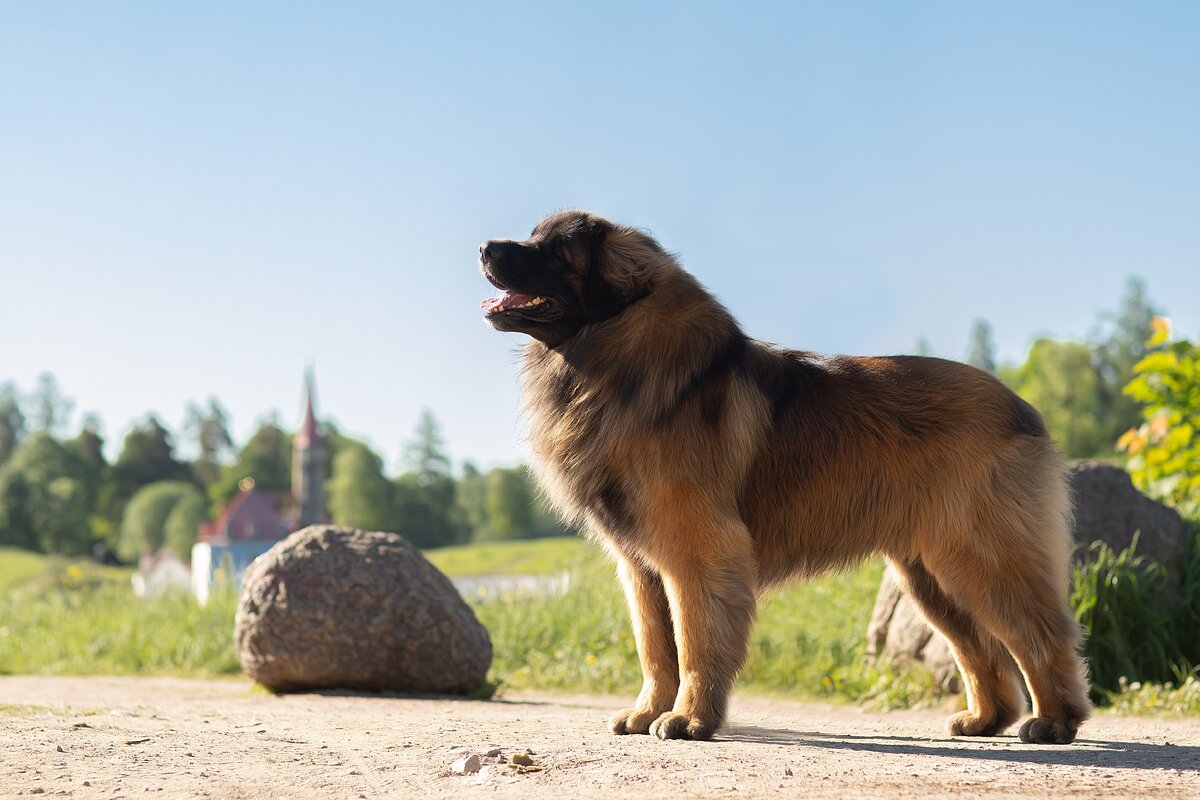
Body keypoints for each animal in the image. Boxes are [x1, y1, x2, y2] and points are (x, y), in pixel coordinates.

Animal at [475, 211, 1089, 743]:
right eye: (533, 236)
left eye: (555, 252)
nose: (484, 247)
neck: (611, 357)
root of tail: (1023, 408)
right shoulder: (640, 567)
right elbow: (655, 647)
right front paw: (647, 712)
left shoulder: (697, 554)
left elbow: (694, 643)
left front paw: (687, 720)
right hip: (930, 575)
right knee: (982, 649)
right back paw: (985, 720)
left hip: (982, 555)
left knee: (1041, 637)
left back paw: (1054, 721)